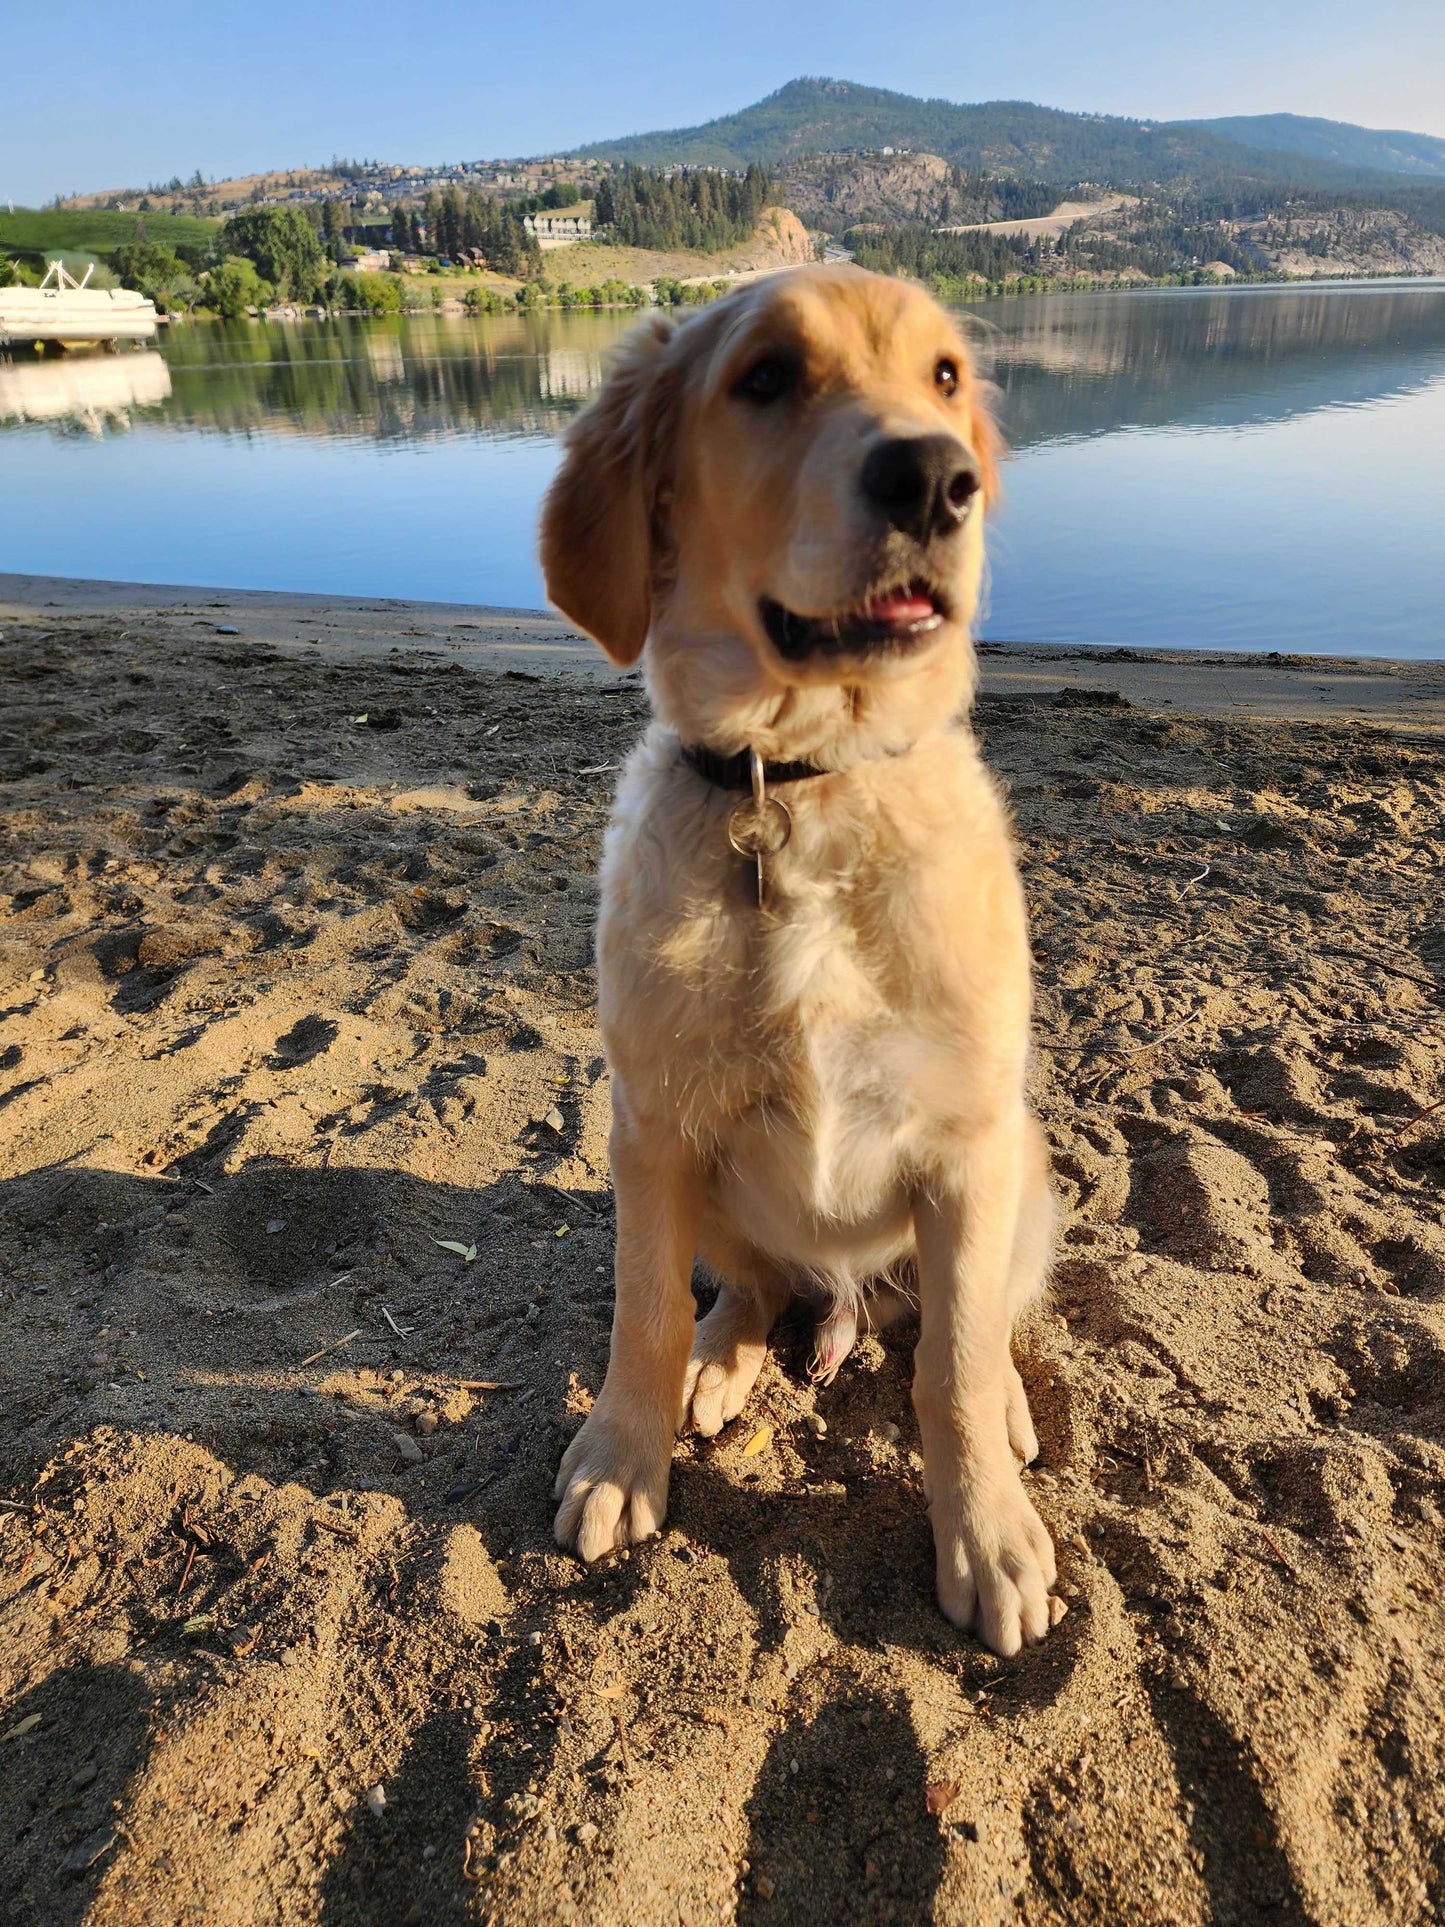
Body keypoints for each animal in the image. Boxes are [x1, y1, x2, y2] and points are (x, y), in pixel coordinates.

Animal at [539, 260, 1063, 1657]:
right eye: (765, 377)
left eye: (943, 375)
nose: (936, 480)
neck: (803, 786)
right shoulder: (648, 1122)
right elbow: (644, 1309)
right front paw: (621, 1454)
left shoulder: (965, 1148)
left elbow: (947, 1371)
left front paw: (984, 1535)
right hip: (711, 1179)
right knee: (757, 1286)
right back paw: (726, 1361)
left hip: (1025, 1179)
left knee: (974, 1327)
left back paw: (1003, 1408)